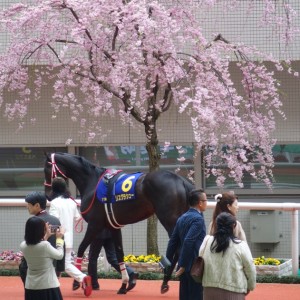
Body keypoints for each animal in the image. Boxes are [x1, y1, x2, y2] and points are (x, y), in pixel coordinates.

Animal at [44, 152, 195, 292]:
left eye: (46, 168)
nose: (47, 194)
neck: (92, 182)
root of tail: (180, 180)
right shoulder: (113, 226)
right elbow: (119, 253)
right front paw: (124, 285)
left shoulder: (94, 224)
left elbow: (81, 248)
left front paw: (77, 282)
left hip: (169, 220)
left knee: (179, 248)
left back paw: (167, 280)